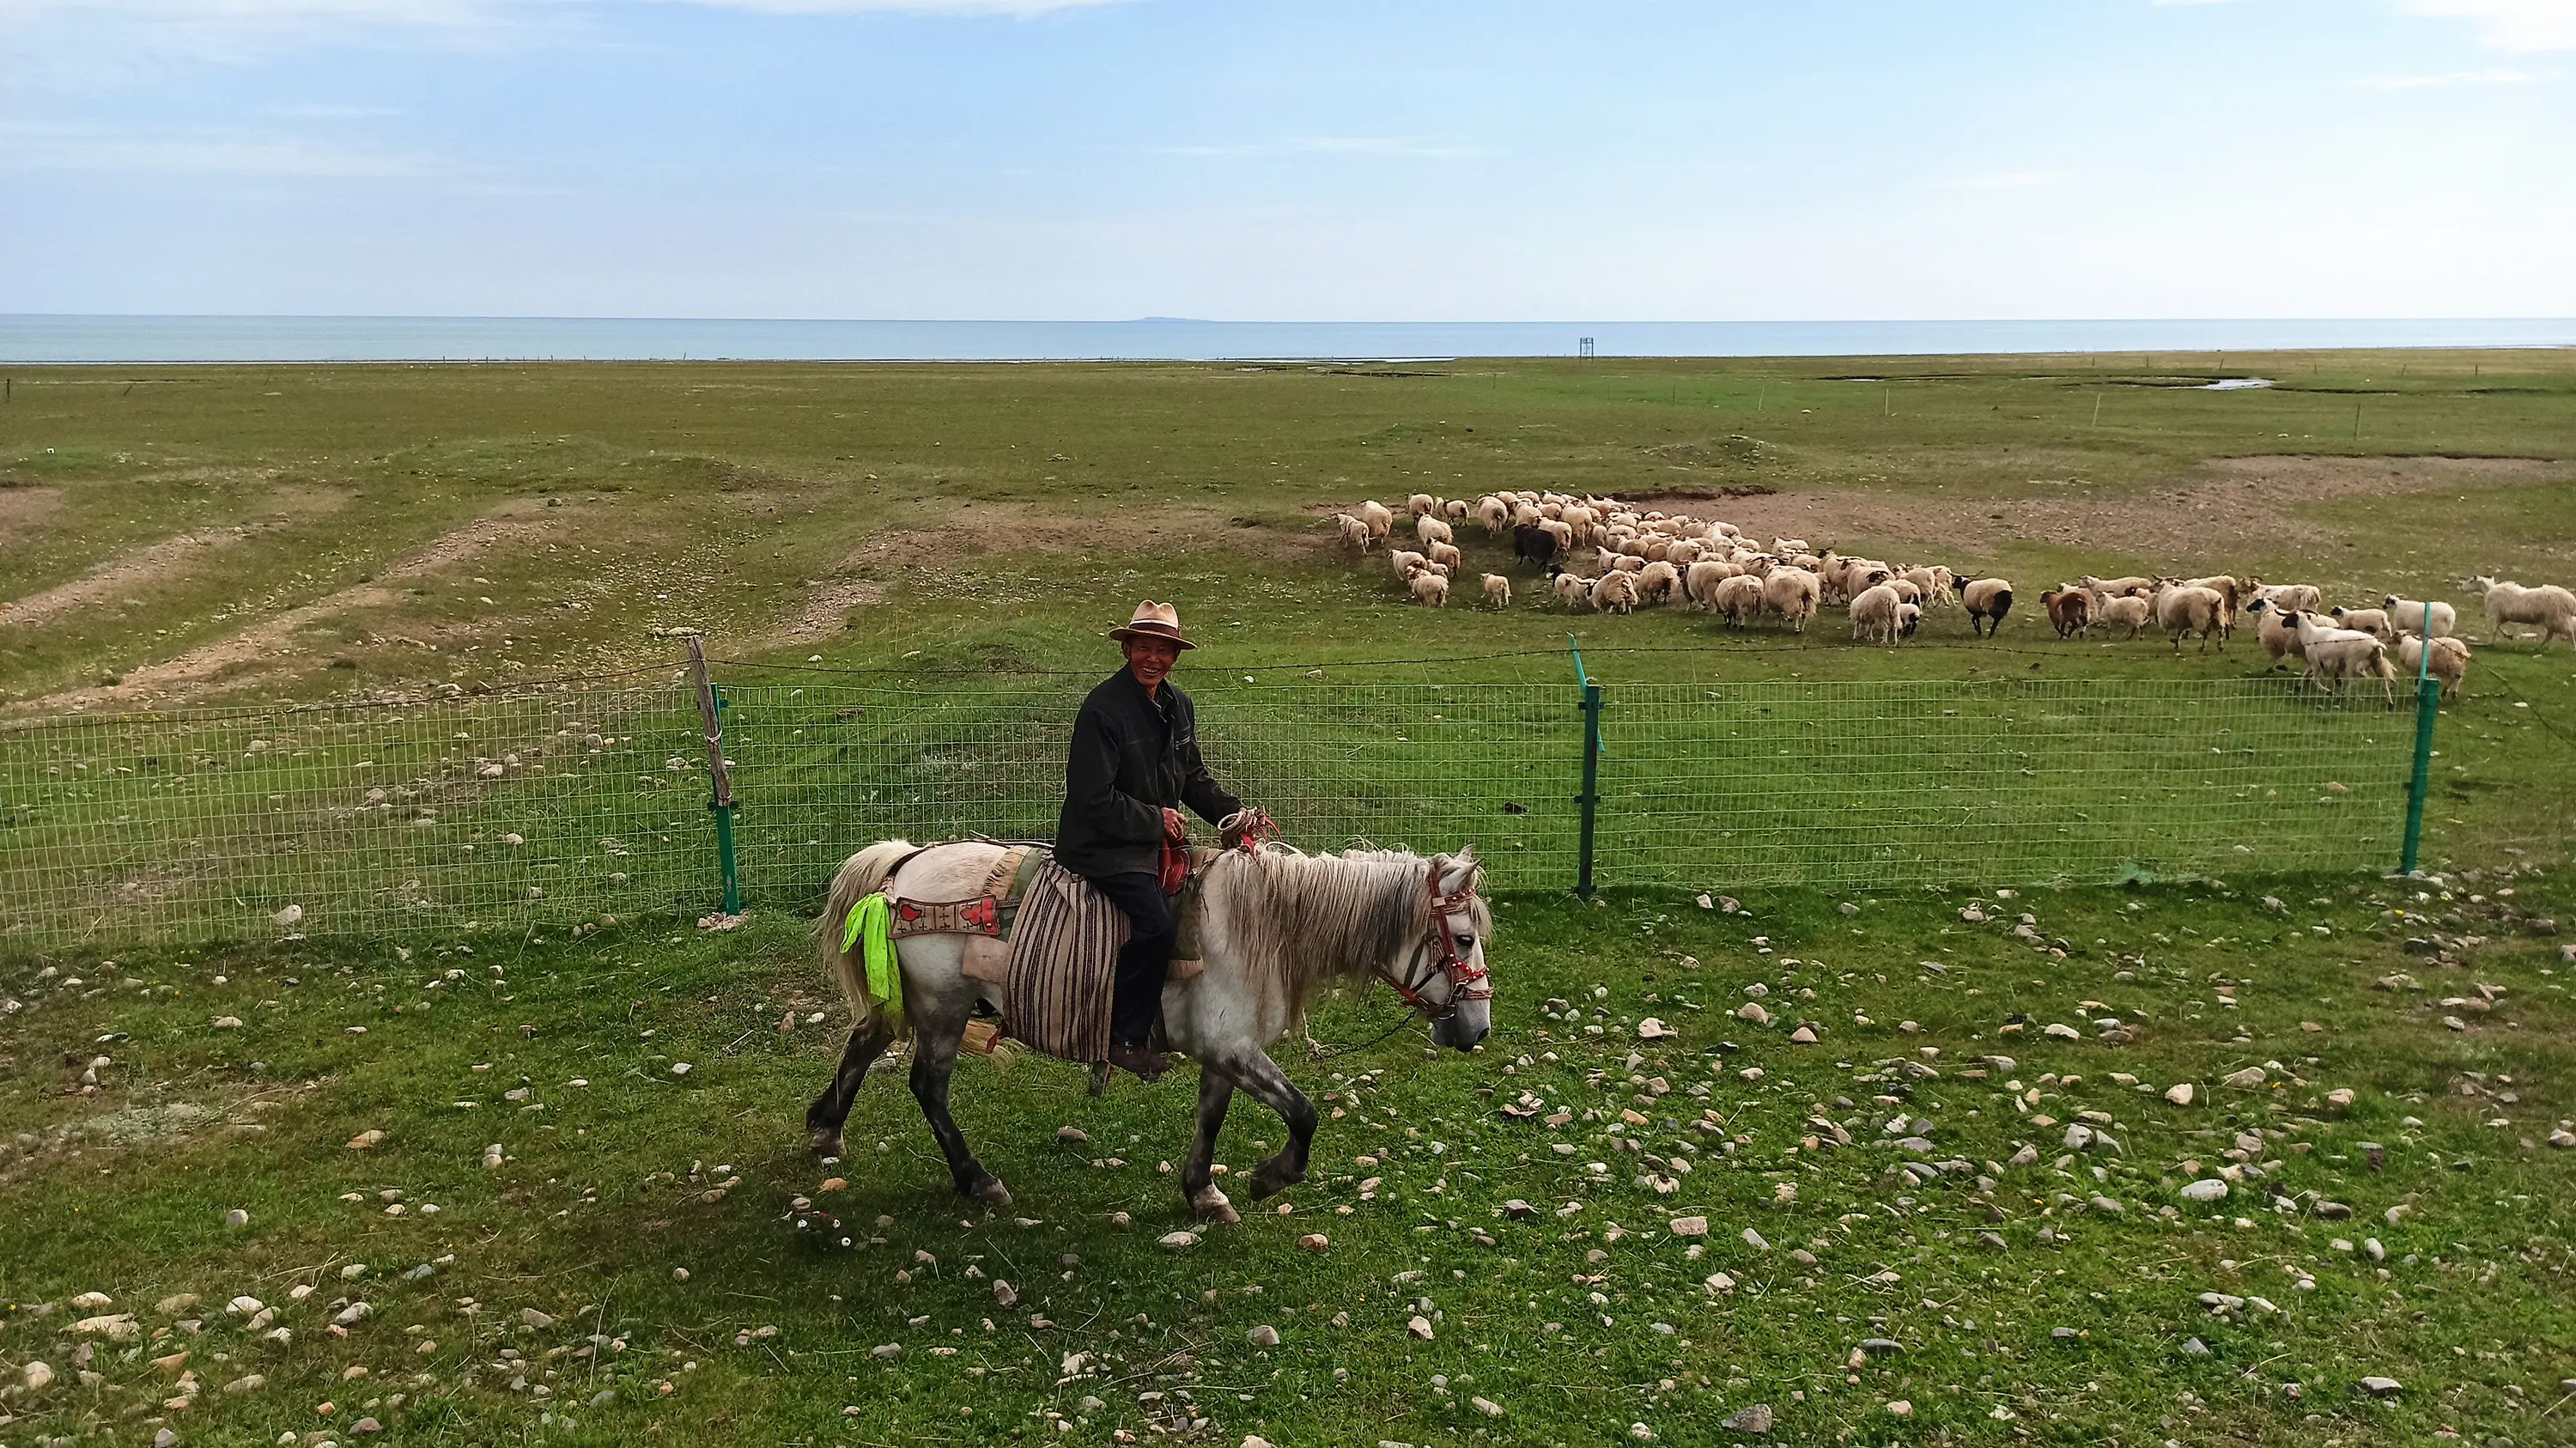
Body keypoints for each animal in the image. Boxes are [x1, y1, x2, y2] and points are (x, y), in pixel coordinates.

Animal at [804, 835, 1494, 1216]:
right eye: (1462, 937)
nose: (1479, 1028)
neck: (1263, 926)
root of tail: (905, 866)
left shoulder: (1223, 1053)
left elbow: (1210, 1121)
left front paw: (1204, 1194)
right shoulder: (1235, 1048)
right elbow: (1304, 1114)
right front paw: (1269, 1178)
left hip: (916, 1005)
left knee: (864, 1043)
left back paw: (826, 1130)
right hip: (944, 1009)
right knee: (928, 1087)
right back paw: (978, 1180)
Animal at [2452, 575, 2576, 649]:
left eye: (2471, 581)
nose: (2461, 589)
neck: (2488, 591)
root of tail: (2571, 601)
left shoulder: (2497, 614)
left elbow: (2494, 629)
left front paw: (2490, 643)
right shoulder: (2502, 616)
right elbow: (2498, 628)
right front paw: (2508, 636)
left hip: (2558, 617)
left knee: (2569, 632)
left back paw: (2573, 648)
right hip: (2552, 619)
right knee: (2550, 634)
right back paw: (2538, 647)